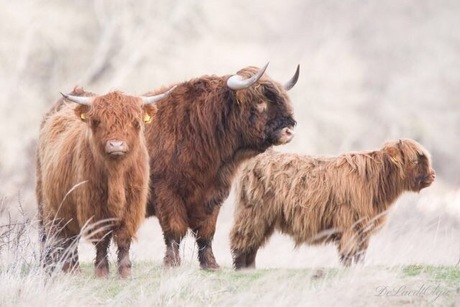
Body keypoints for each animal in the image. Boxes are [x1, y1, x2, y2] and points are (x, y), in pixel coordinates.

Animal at [34, 87, 171, 280]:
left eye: (135, 122)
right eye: (98, 121)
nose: (116, 145)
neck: (116, 175)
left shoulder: (132, 207)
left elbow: (123, 239)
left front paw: (125, 272)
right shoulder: (93, 206)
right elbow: (101, 239)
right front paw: (101, 272)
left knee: (70, 238)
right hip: (48, 205)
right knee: (54, 236)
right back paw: (59, 269)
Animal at [145, 63, 302, 270]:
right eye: (260, 100)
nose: (289, 130)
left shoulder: (213, 195)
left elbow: (206, 233)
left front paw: (211, 265)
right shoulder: (166, 192)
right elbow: (174, 231)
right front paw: (172, 263)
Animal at [232, 140, 436, 270]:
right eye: (416, 159)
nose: (433, 175)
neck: (375, 181)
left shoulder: (364, 226)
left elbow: (360, 252)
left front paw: (359, 268)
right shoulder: (349, 222)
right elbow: (348, 250)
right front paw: (347, 268)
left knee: (252, 242)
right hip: (253, 212)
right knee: (243, 239)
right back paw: (243, 269)